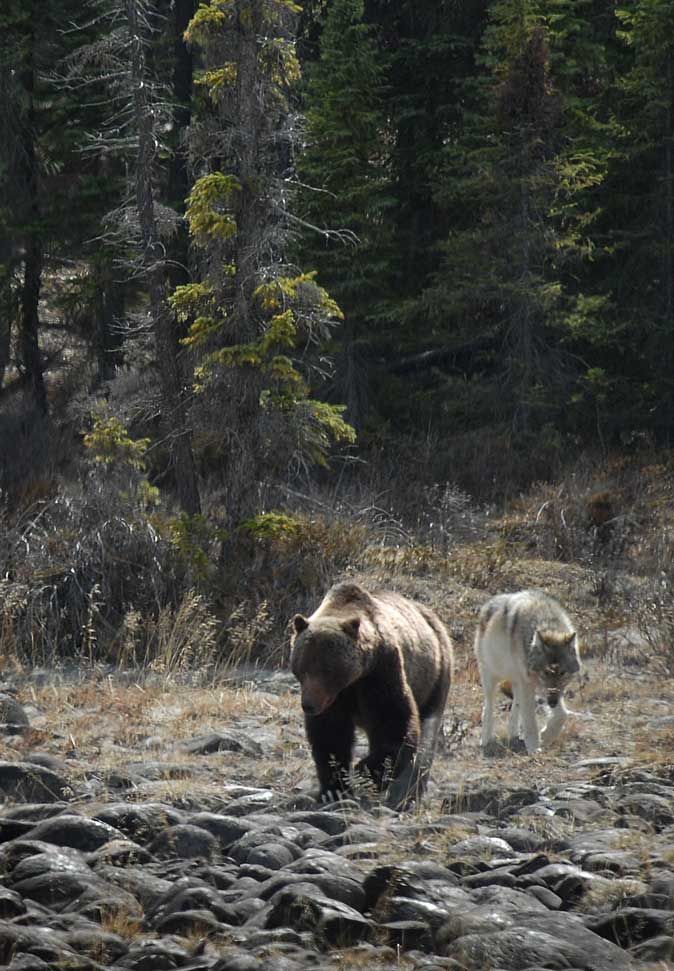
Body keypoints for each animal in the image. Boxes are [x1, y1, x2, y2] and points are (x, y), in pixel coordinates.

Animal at [288, 580, 452, 808]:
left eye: (327, 670)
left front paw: (363, 773)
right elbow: (330, 736)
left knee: (427, 733)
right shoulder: (336, 698)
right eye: (302, 668)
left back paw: (409, 793)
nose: (309, 705)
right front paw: (334, 788)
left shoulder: (380, 672)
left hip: (434, 677)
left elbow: (393, 724)